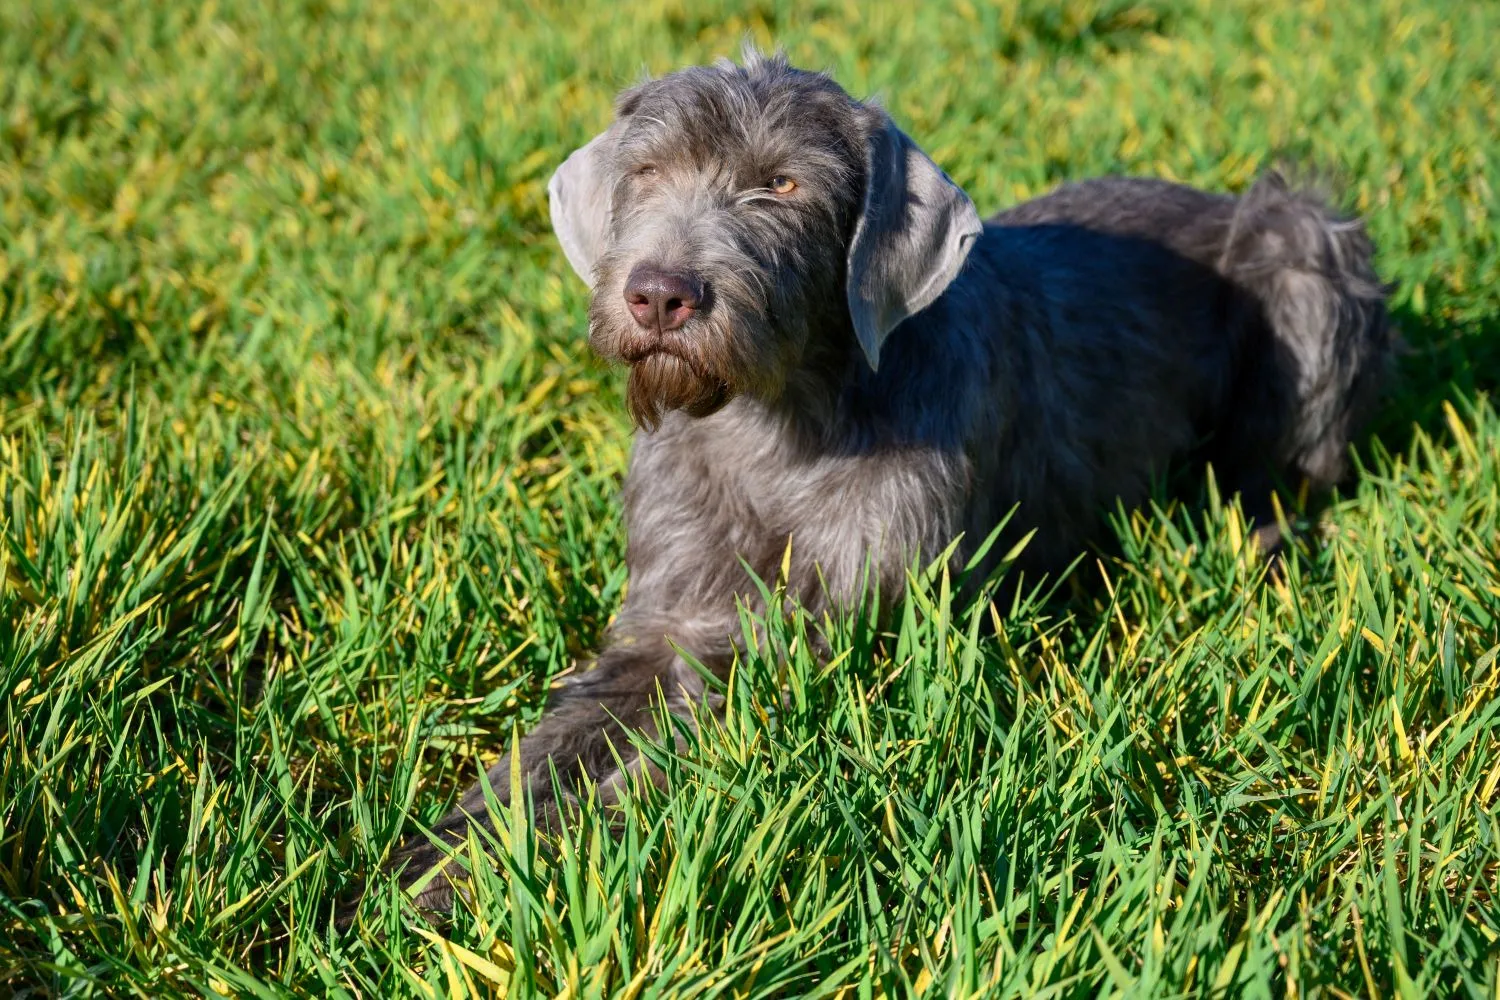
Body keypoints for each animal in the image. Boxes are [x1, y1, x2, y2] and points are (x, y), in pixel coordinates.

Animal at [387, 48, 1392, 917]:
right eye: (644, 171)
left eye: (784, 185)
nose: (660, 294)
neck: (775, 429)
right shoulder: (667, 620)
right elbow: (551, 744)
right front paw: (434, 862)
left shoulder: (847, 632)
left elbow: (685, 738)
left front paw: (504, 871)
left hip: (1304, 247)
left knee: (1291, 470)